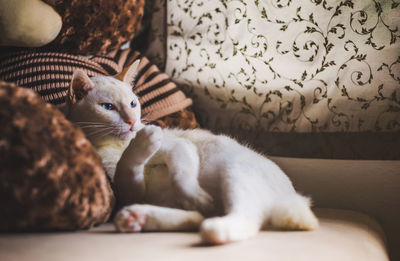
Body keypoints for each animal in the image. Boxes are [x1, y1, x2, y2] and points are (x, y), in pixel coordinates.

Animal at [65, 61, 318, 244]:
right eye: (107, 107)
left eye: (133, 104)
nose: (132, 122)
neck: (114, 146)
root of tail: (294, 200)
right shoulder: (131, 189)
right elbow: (127, 169)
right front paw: (141, 144)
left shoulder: (179, 147)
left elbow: (181, 176)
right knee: (199, 216)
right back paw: (138, 218)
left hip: (234, 170)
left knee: (243, 217)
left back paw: (212, 226)